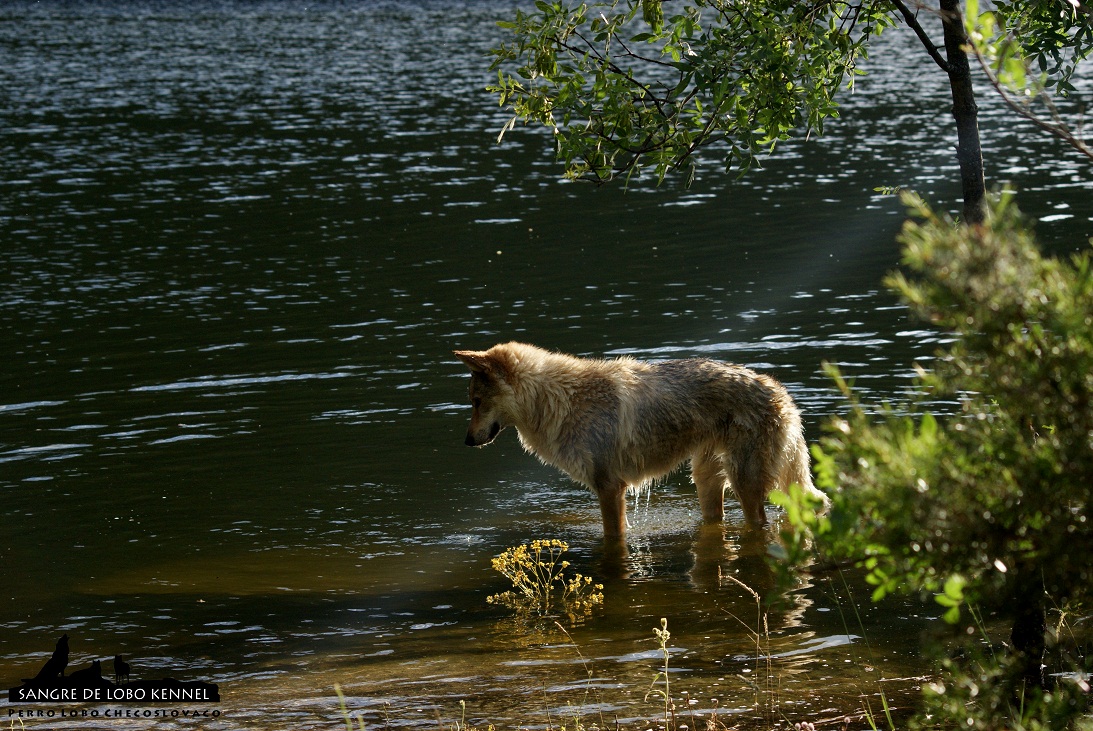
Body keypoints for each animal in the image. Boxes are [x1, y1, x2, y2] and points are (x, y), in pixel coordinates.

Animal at [454, 343, 826, 535]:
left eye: (476, 402)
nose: (467, 442)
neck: (560, 400)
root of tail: (779, 390)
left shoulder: (609, 488)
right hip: (707, 482)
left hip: (745, 486)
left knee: (761, 523)